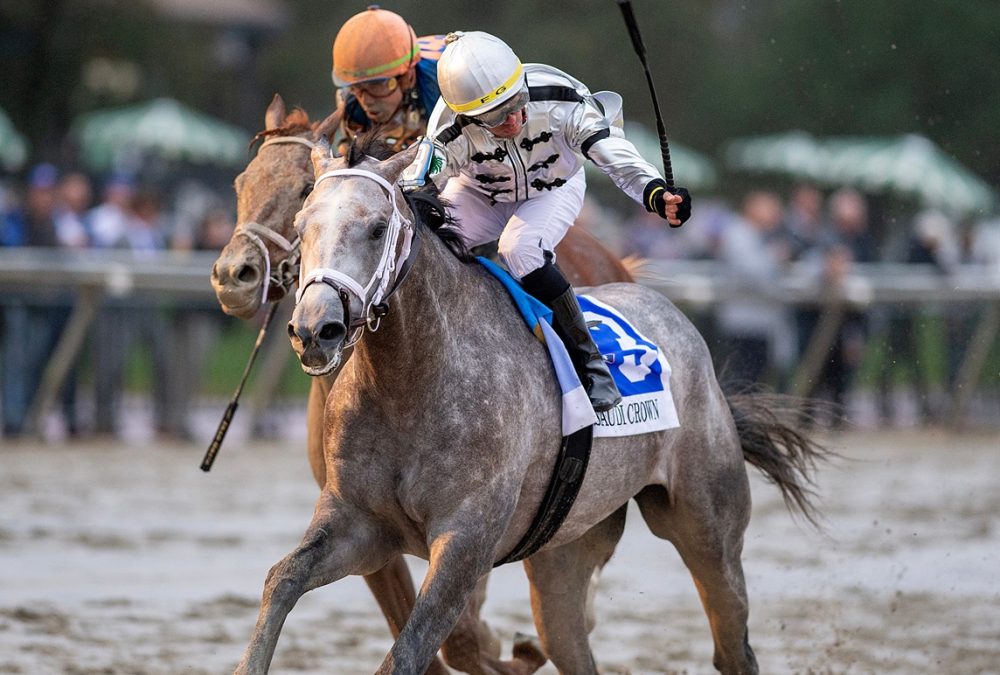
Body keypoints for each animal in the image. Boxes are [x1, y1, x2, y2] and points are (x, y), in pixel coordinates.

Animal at [234, 133, 828, 675]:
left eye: (377, 228)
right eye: (301, 227)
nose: (316, 330)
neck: (410, 379)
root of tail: (674, 316)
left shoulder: (465, 543)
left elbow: (408, 652)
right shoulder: (359, 524)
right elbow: (281, 579)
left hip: (706, 529)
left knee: (732, 645)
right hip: (563, 552)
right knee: (571, 644)